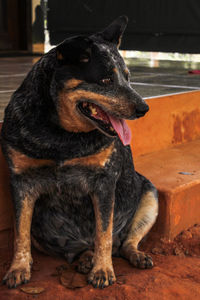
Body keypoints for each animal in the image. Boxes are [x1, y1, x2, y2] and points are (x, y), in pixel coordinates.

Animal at [1, 15, 158, 288]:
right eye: (105, 80)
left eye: (128, 77)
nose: (144, 108)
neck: (62, 135)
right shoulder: (21, 182)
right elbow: (19, 233)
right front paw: (18, 268)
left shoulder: (104, 182)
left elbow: (104, 233)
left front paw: (103, 270)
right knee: (79, 249)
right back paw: (85, 258)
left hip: (150, 194)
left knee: (124, 242)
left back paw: (134, 256)